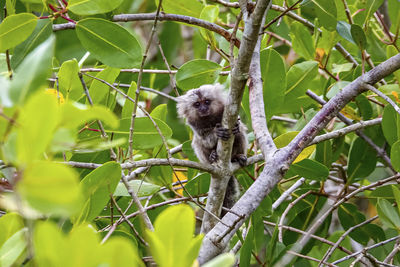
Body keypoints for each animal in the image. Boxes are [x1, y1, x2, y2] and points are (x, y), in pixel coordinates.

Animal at [177, 85, 247, 215]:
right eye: (197, 104)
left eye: (207, 102)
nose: (203, 108)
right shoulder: (194, 125)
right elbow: (205, 140)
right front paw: (216, 132)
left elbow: (239, 126)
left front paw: (236, 127)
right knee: (198, 143)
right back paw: (212, 156)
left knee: (240, 136)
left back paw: (237, 156)